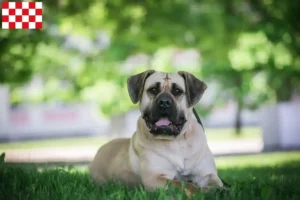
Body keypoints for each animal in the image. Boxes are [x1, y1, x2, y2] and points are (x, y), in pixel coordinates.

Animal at [89, 70, 223, 195]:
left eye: (177, 91)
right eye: (153, 90)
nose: (164, 102)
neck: (176, 142)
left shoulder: (207, 174)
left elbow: (216, 184)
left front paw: (215, 190)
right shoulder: (155, 178)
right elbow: (184, 184)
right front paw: (199, 191)